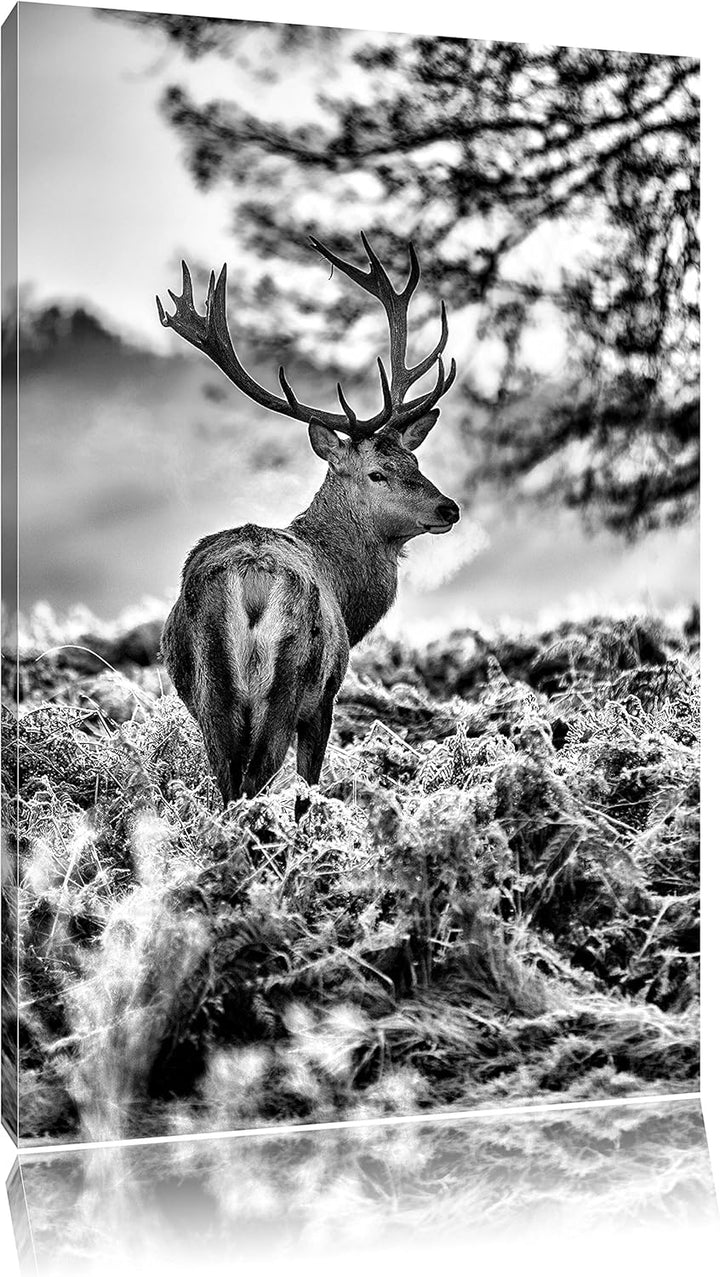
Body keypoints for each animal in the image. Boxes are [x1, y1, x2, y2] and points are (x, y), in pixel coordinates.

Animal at [156, 233, 460, 818]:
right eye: (377, 472)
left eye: (415, 461)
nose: (449, 509)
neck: (347, 591)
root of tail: (251, 579)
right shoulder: (327, 695)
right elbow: (308, 784)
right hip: (291, 681)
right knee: (256, 778)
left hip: (211, 690)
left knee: (227, 781)